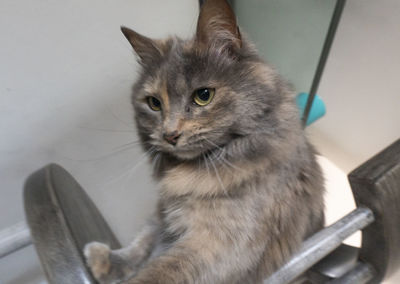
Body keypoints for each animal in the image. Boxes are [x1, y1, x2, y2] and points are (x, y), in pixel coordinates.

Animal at [84, 0, 324, 284]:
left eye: (203, 96)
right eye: (154, 103)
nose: (169, 135)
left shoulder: (223, 245)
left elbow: (162, 271)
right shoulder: (165, 212)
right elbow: (144, 240)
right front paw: (106, 260)